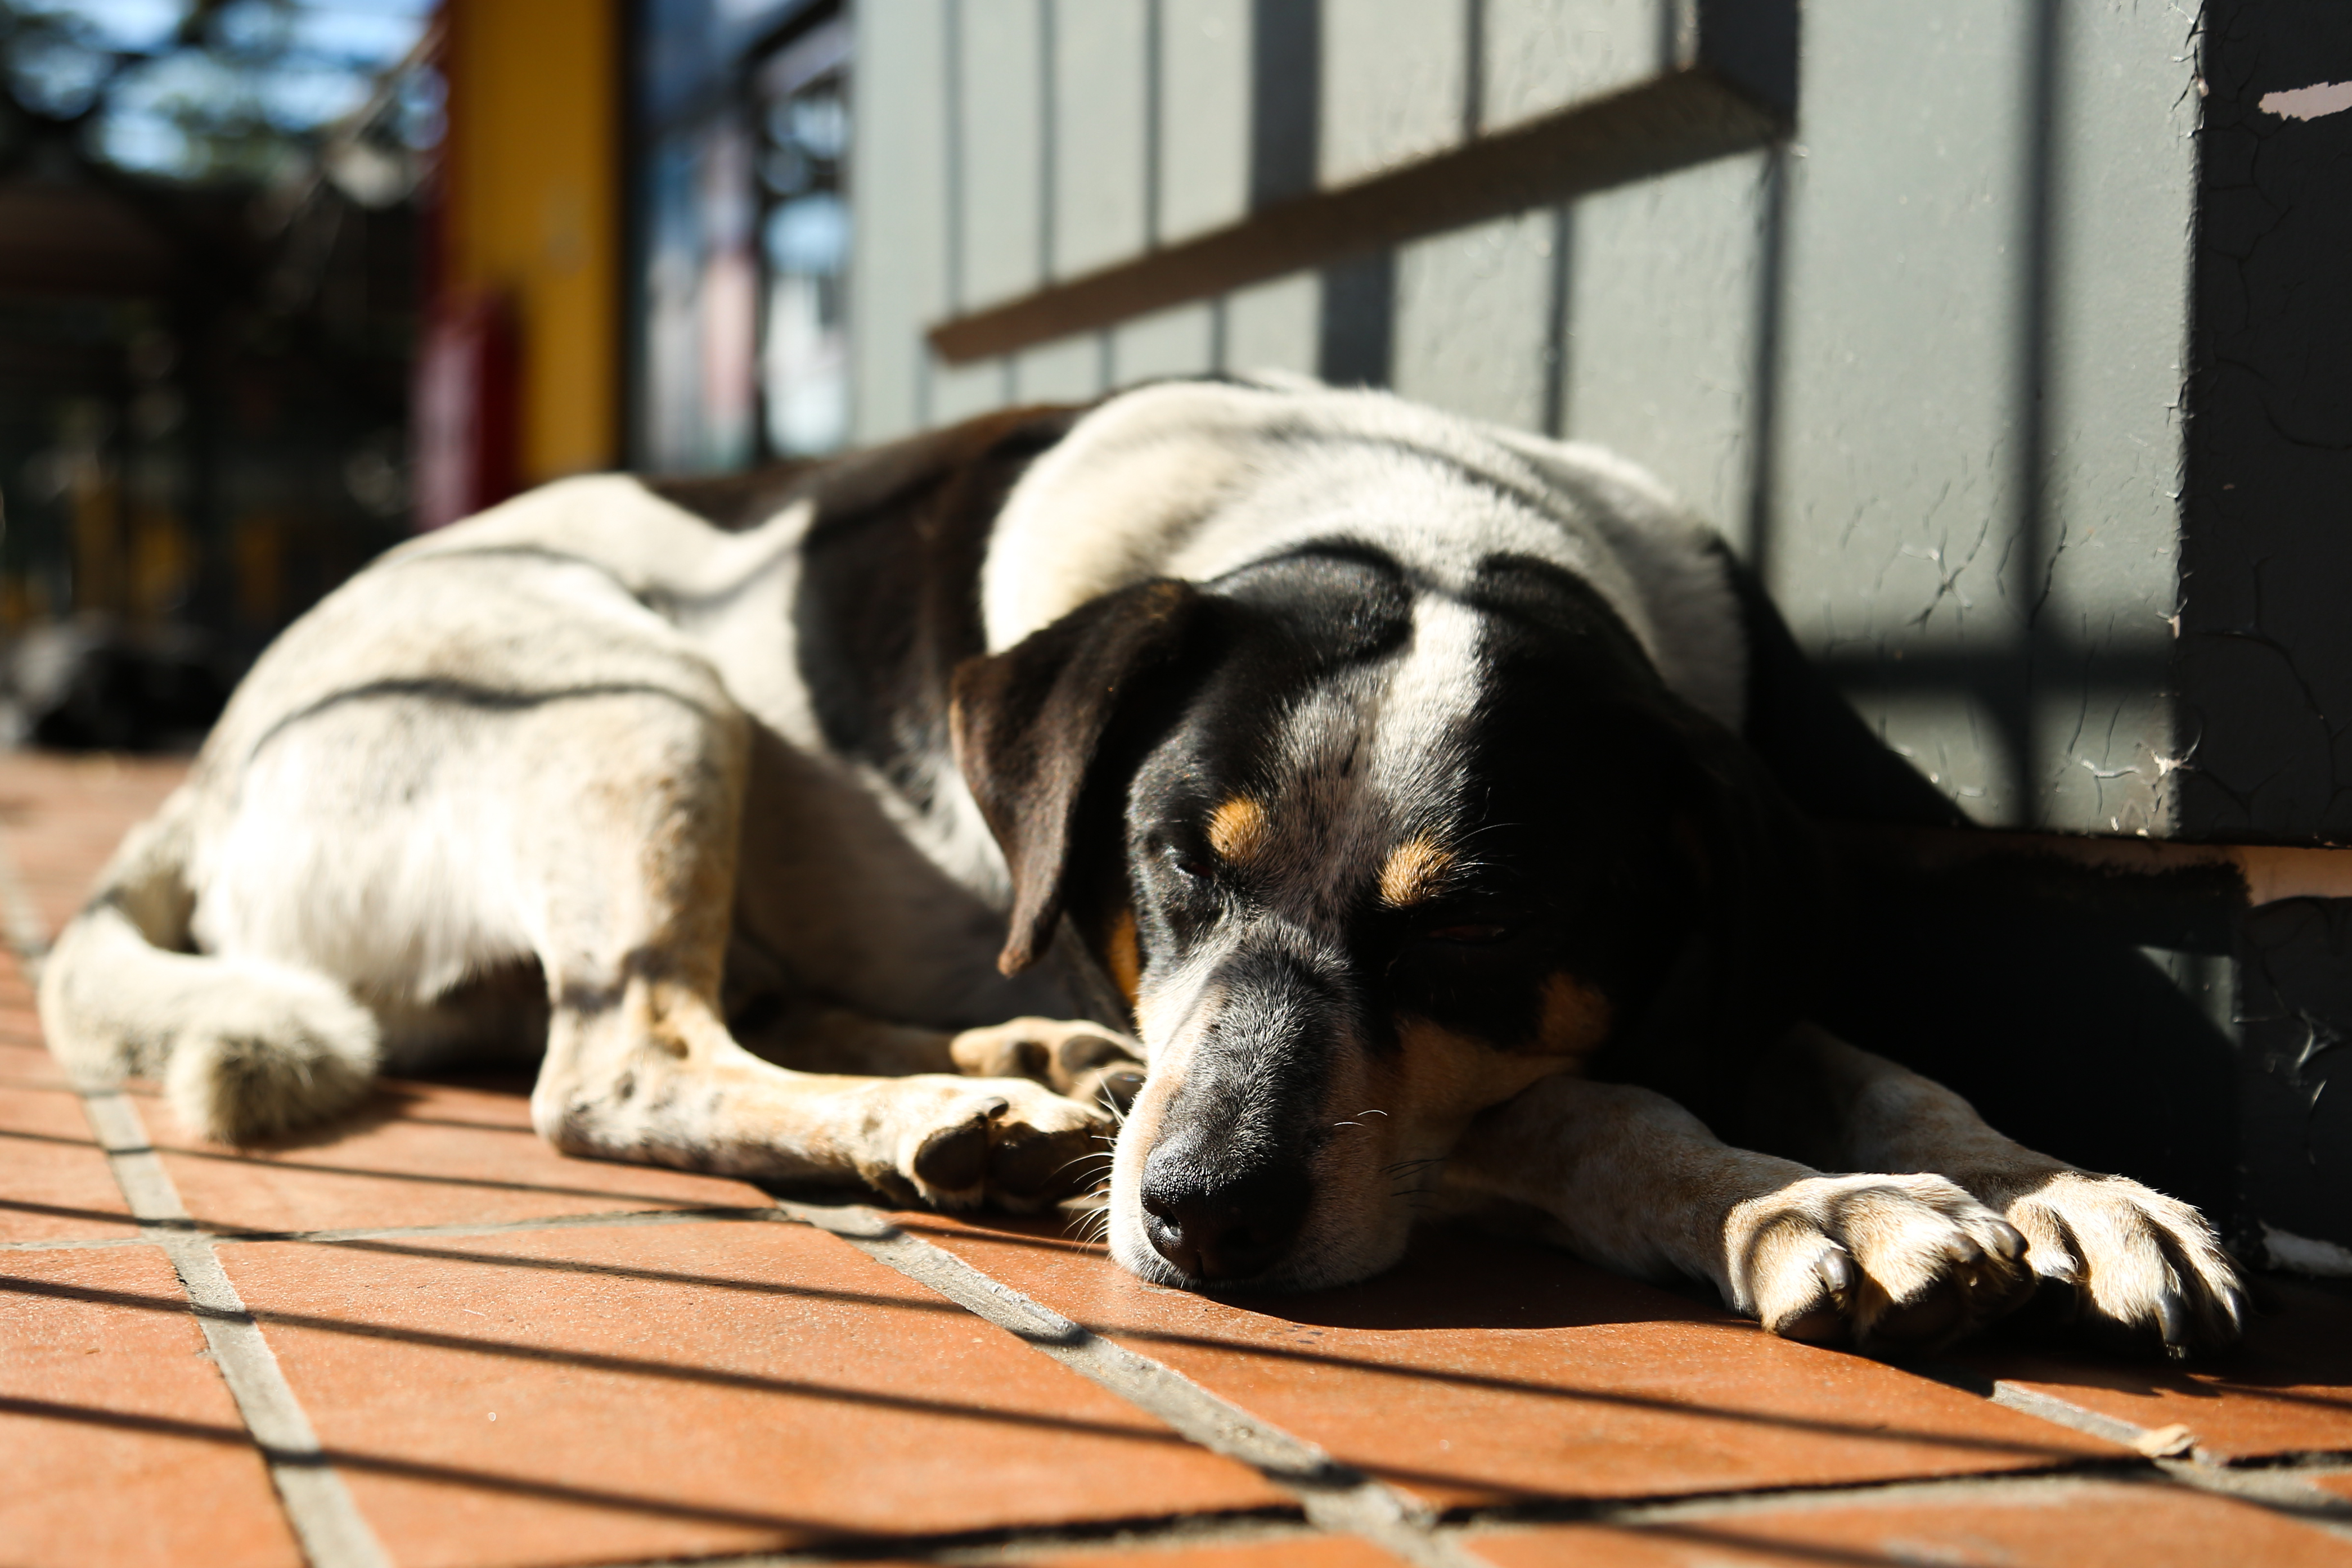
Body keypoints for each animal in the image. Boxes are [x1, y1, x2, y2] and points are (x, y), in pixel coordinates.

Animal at [37, 383, 2239, 1363]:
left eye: (1484, 921)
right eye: (1171, 857)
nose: (1193, 1217)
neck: (1397, 512)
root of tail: (207, 771)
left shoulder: (1718, 945)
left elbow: (1886, 1062)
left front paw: (2067, 1183)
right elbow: (1597, 1107)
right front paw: (1801, 1198)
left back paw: (1011, 1076)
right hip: (631, 695)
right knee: (615, 1060)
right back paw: (941, 1111)